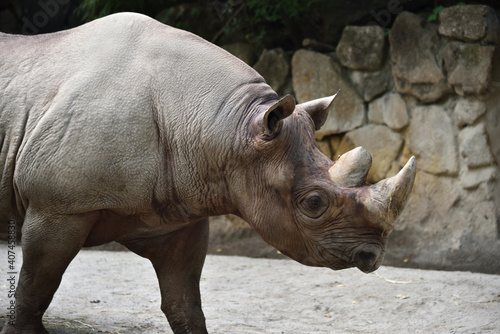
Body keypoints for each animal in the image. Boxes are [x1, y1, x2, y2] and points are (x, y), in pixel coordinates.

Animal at [0, 12, 414, 334]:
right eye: (314, 203)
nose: (371, 256)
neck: (228, 128)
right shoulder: (58, 206)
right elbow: (36, 285)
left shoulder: (178, 214)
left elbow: (184, 304)